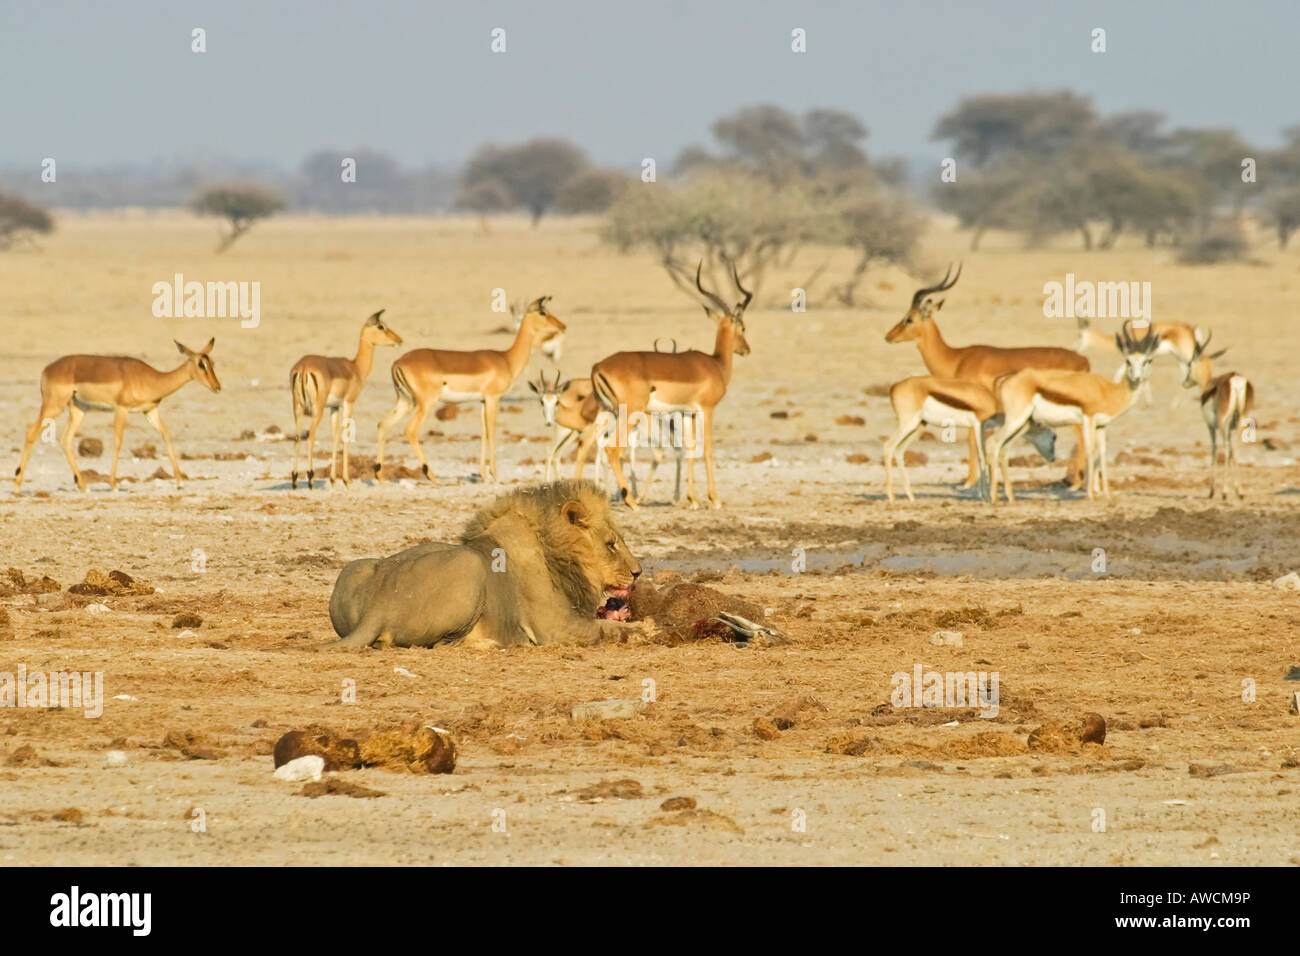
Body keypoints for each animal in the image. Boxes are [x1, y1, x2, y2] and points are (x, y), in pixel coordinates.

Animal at [320, 480, 642, 649]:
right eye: (611, 544)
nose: (638, 572)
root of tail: (377, 609)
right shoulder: (556, 628)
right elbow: (605, 629)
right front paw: (645, 629)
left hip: (354, 567)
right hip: (470, 565)